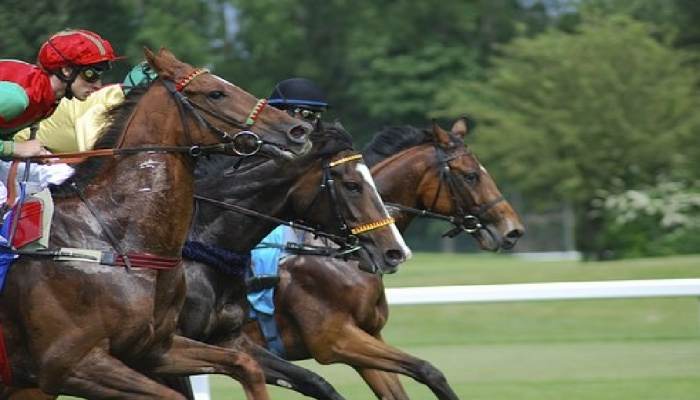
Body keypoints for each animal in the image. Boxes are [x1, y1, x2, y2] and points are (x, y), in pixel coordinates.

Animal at [0, 47, 312, 400]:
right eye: (215, 93)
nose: (297, 130)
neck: (112, 239)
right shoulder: (72, 366)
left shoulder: (155, 349)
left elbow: (246, 365)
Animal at [243, 119, 524, 400]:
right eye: (471, 176)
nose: (513, 230)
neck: (333, 254)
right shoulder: (335, 340)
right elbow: (428, 370)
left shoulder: (369, 334)